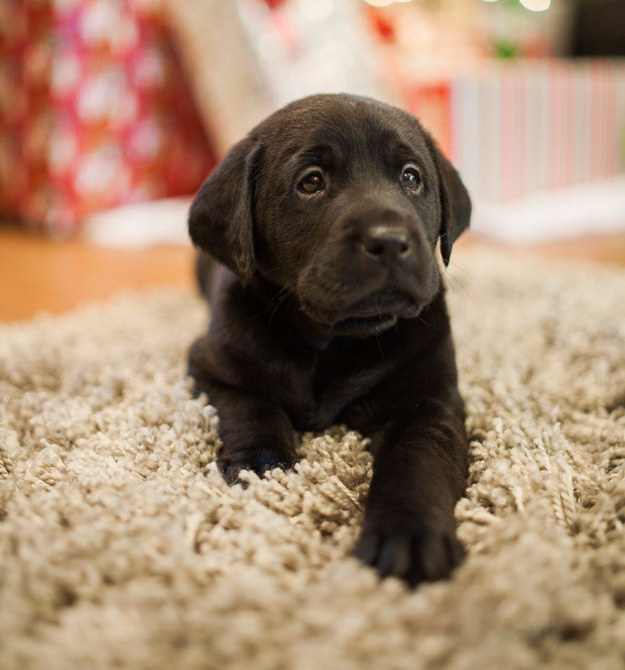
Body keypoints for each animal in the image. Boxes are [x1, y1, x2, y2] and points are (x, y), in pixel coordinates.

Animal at [188, 94, 470, 588]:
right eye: (311, 182)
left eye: (411, 177)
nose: (389, 241)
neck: (333, 339)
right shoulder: (209, 363)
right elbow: (250, 402)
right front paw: (261, 460)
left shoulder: (430, 402)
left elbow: (418, 462)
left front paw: (409, 534)